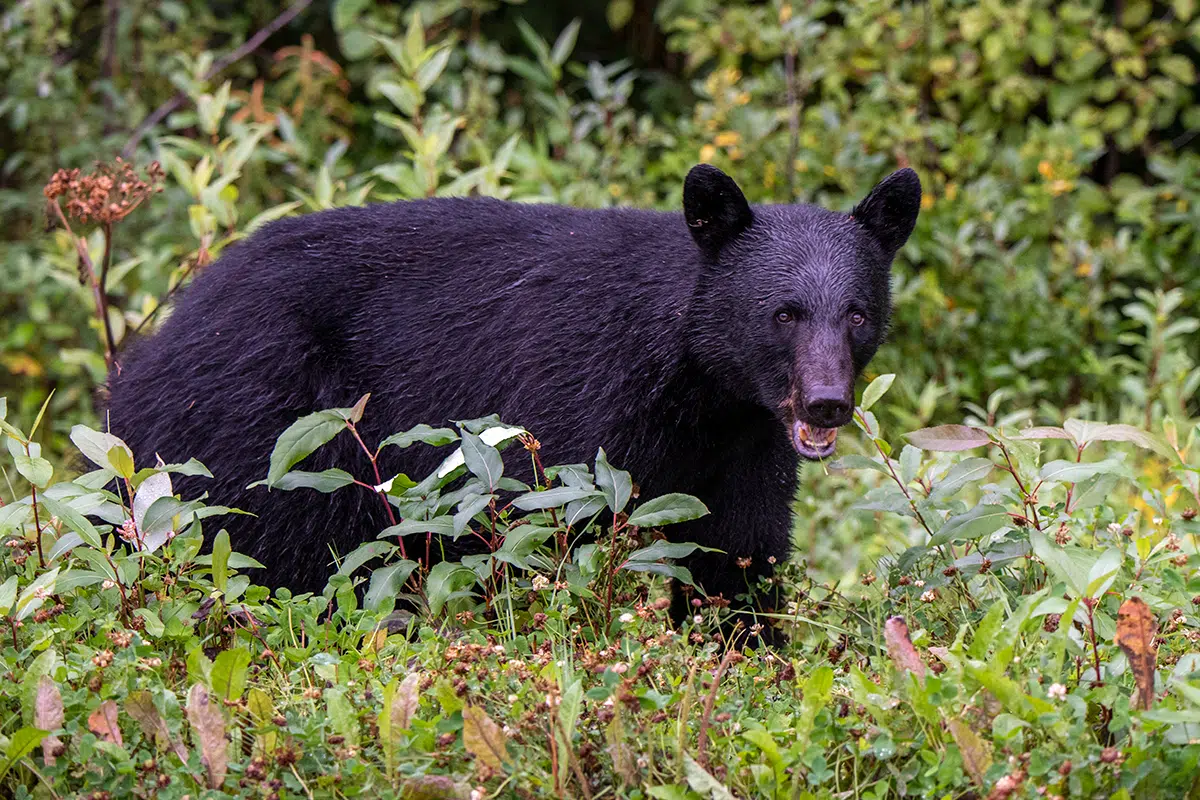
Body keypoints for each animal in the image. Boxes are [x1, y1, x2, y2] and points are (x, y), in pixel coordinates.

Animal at [105, 163, 920, 640]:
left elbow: (738, 555)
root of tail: (149, 352)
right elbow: (544, 531)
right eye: (783, 313)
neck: (698, 388)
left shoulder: (745, 441)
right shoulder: (577, 400)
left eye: (855, 313)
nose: (826, 404)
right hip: (264, 425)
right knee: (278, 555)